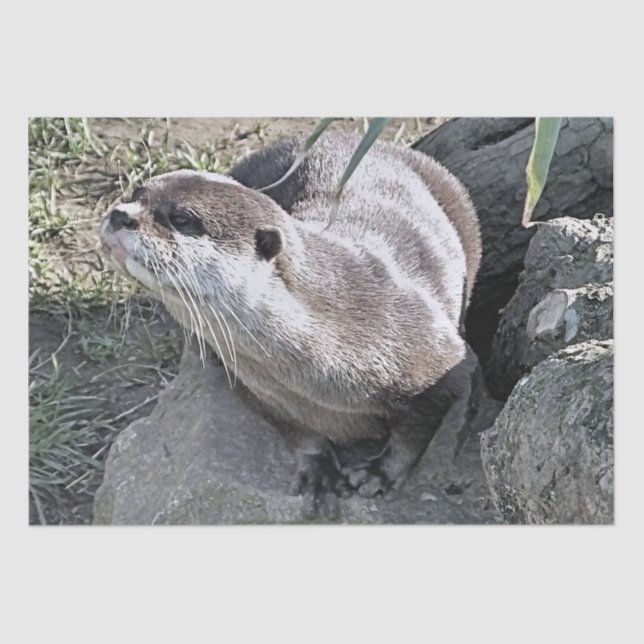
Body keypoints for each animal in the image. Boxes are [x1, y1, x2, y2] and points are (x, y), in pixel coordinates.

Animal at [99, 132, 481, 519]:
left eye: (180, 218)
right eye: (136, 192)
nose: (120, 214)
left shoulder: (439, 358)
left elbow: (419, 427)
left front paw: (380, 473)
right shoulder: (258, 388)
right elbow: (295, 430)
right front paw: (318, 470)